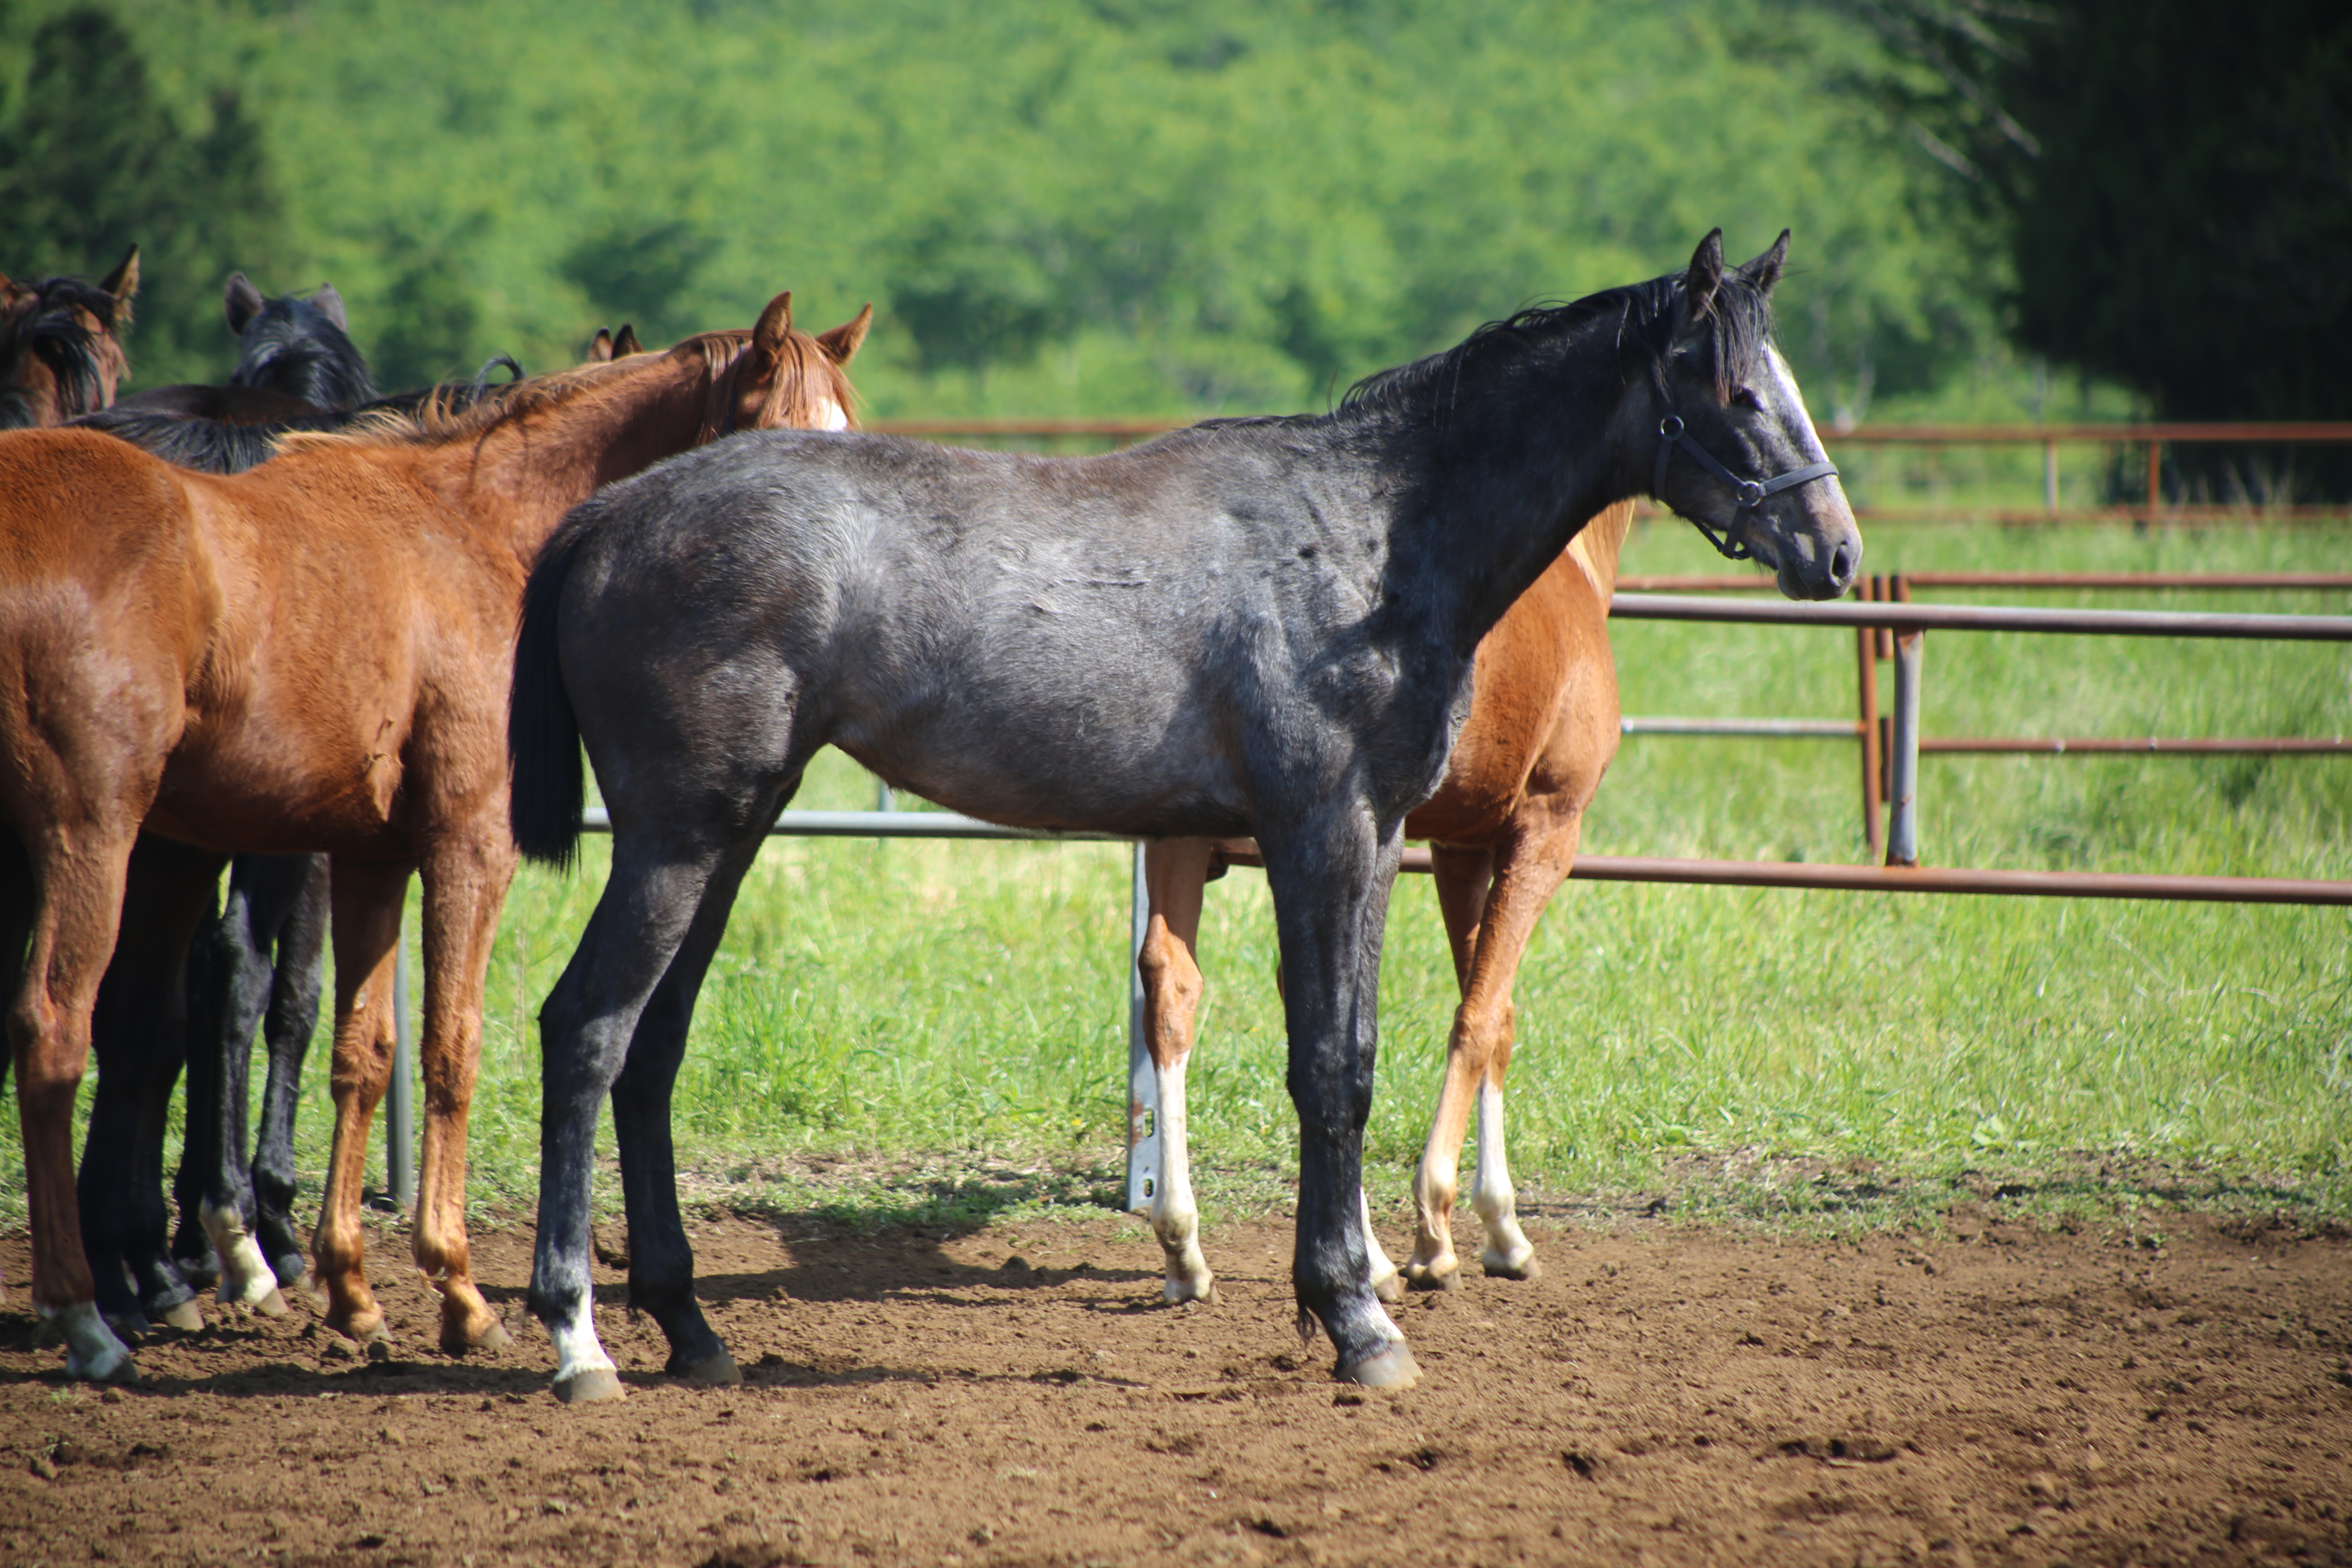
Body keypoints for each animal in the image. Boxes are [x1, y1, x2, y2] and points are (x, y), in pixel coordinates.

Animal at [0, 288, 870, 1382]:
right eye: (777, 449)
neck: (472, 529)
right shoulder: (468, 842)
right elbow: (452, 1045)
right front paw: (460, 1293)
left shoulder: (373, 856)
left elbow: (363, 1053)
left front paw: (354, 1291)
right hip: (97, 833)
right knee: (56, 1029)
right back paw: (89, 1312)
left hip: (148, 852)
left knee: (129, 1028)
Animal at [1138, 505, 1637, 1316]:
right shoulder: (1546, 828)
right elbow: (1479, 1018)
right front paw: (1448, 1231)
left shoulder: (1463, 848)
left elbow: (1494, 1018)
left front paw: (1497, 1231)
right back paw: (1365, 1256)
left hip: (1189, 837)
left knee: (1173, 987)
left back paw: (1185, 1247)